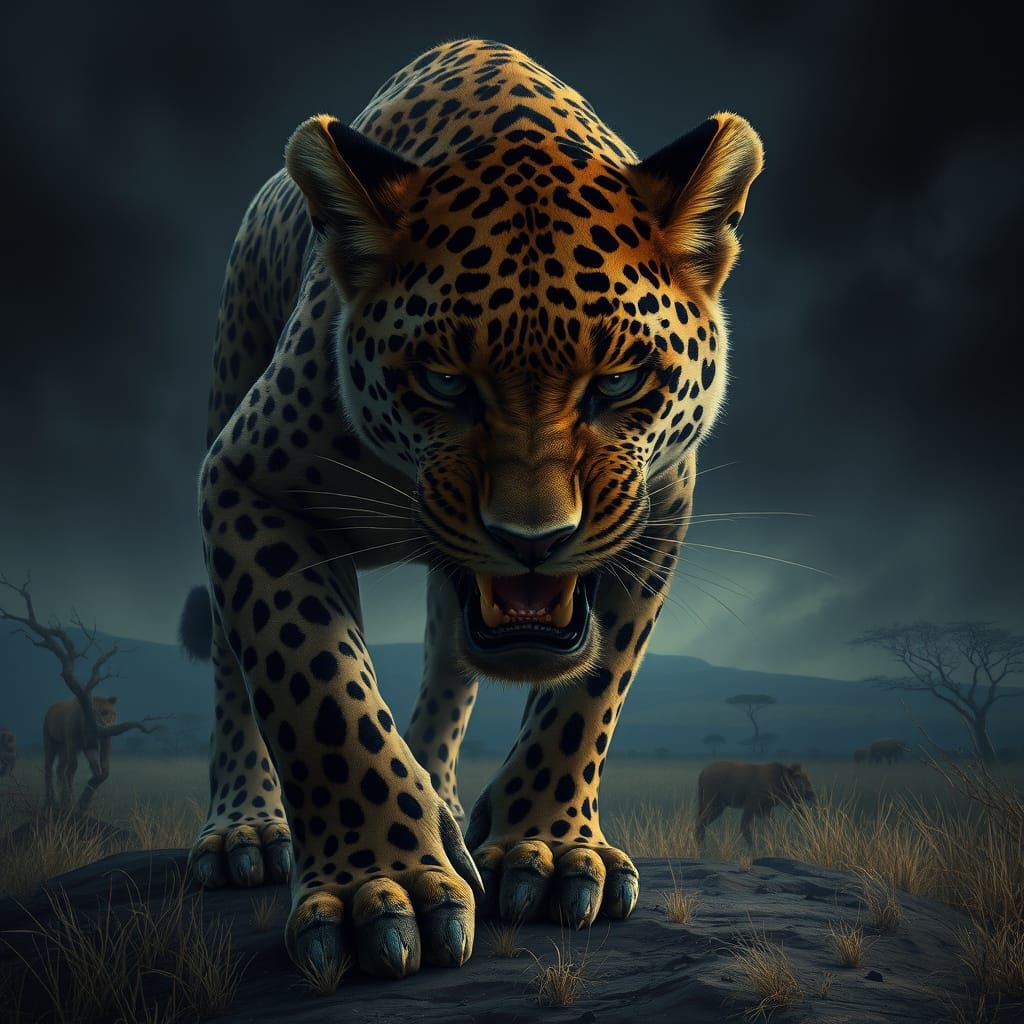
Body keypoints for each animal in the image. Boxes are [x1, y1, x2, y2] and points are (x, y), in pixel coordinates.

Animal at [180, 37, 763, 980]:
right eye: (445, 381)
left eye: (618, 381)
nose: (533, 539)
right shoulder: (246, 478)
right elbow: (315, 689)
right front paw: (383, 891)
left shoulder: (660, 509)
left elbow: (589, 694)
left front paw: (545, 850)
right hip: (232, 361)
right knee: (234, 673)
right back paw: (247, 830)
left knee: (452, 665)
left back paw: (446, 804)